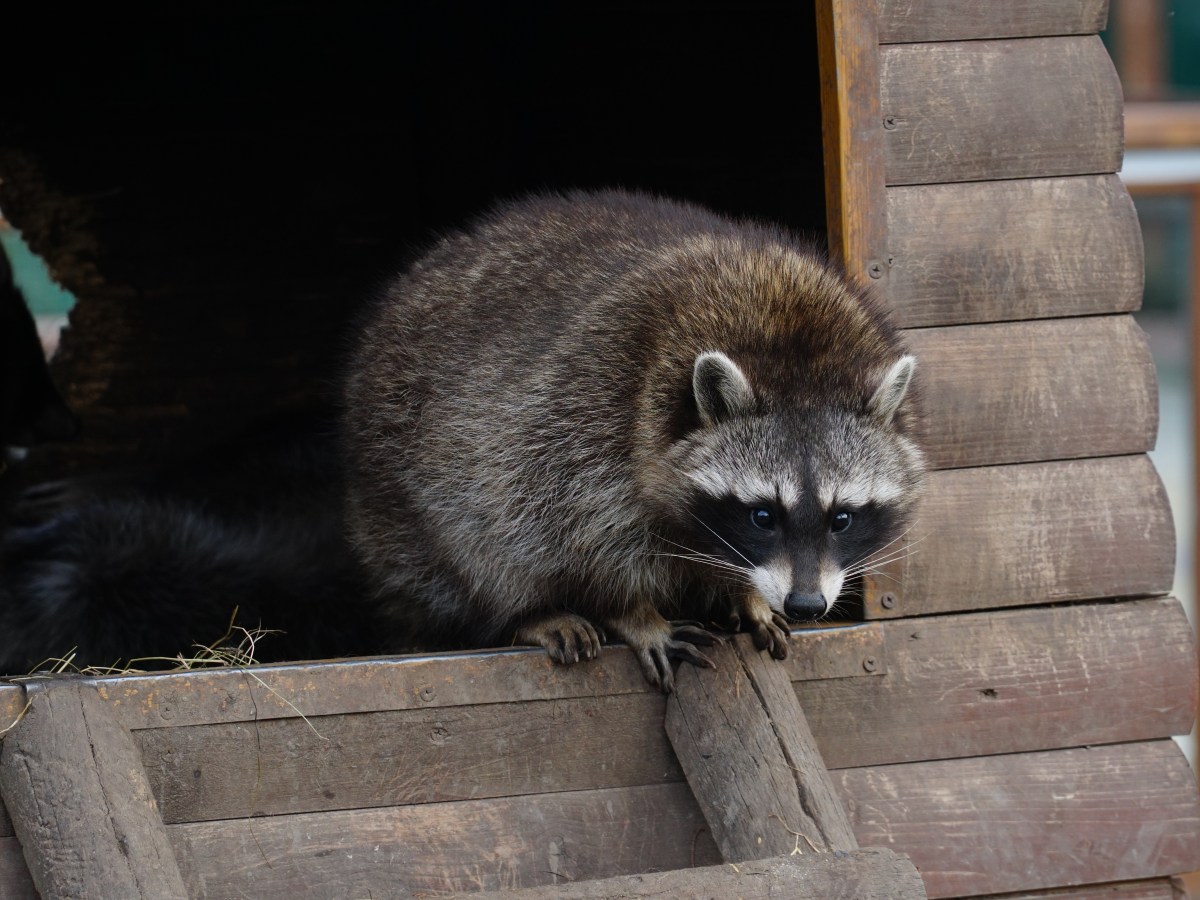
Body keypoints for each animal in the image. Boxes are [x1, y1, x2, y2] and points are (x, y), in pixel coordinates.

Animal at [343, 190, 921, 696]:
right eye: (763, 516)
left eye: (841, 518)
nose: (804, 604)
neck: (791, 342)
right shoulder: (587, 410)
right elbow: (579, 535)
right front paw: (634, 612)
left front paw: (746, 594)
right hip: (397, 475)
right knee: (476, 542)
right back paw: (528, 612)